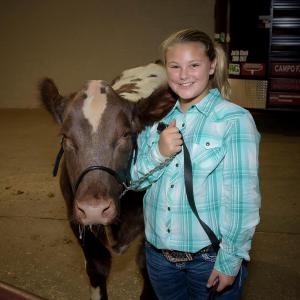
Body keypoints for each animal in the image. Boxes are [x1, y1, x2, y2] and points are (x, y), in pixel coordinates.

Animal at [39, 62, 176, 298]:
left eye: (125, 134)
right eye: (65, 136)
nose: (94, 208)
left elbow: (149, 272)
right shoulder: (75, 219)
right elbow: (98, 267)